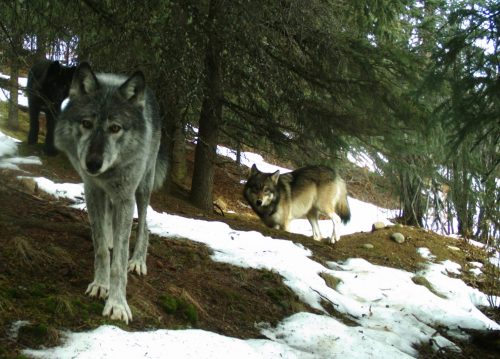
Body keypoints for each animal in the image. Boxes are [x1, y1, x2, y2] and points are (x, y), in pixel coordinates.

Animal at [54, 62, 168, 324]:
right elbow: (100, 249)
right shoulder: (93, 190)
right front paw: (100, 284)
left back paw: (137, 261)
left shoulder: (126, 197)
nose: (93, 164)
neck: (108, 173)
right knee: (109, 228)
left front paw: (117, 304)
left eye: (115, 128)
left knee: (144, 225)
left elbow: (119, 262)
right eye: (86, 124)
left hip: (142, 189)